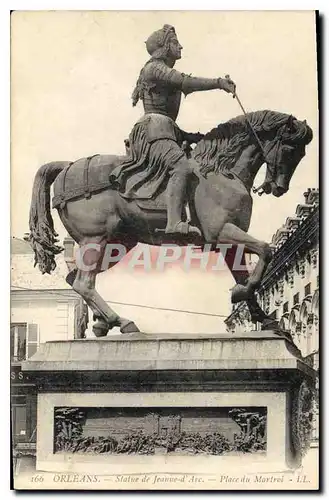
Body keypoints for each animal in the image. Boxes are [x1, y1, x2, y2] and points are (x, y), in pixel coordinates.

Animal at [28, 109, 312, 336]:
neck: (221, 171)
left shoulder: (230, 243)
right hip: (95, 240)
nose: (278, 187)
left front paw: (264, 319)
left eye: (301, 153)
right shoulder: (222, 231)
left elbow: (247, 272)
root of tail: (67, 167)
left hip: (116, 245)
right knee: (83, 283)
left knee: (75, 279)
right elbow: (265, 250)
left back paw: (104, 323)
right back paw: (121, 322)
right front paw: (240, 293)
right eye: (289, 148)